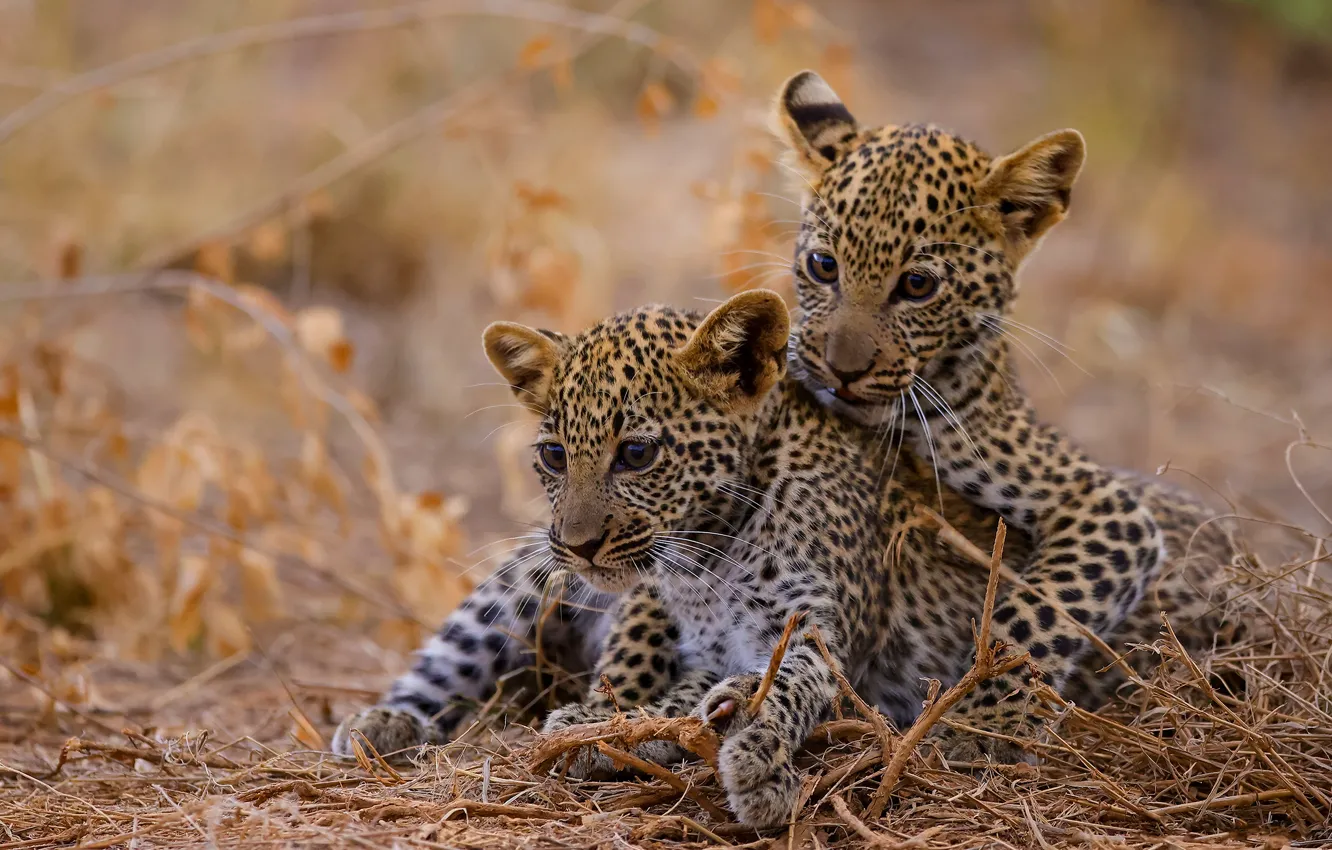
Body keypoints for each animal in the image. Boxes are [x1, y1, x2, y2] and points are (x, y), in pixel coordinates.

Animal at [336, 289, 1047, 827]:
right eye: (554, 456)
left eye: (637, 454)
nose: (577, 545)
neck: (709, 560)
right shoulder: (697, 642)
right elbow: (662, 682)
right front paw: (609, 728)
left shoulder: (816, 632)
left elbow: (788, 683)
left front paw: (751, 754)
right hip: (523, 578)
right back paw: (379, 725)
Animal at [770, 70, 1239, 759]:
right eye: (823, 267)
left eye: (917, 286)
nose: (841, 370)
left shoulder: (1107, 506)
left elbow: (1038, 610)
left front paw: (982, 722)